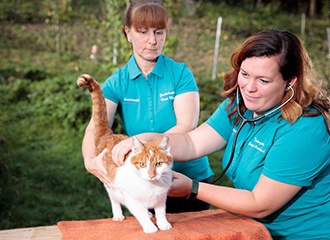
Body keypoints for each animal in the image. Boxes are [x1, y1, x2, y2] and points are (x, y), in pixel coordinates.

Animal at [75, 74, 171, 233]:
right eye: (143, 164)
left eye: (158, 164)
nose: (151, 175)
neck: (151, 186)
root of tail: (109, 135)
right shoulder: (131, 198)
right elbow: (139, 212)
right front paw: (150, 227)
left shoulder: (161, 197)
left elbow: (161, 211)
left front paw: (163, 223)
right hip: (110, 185)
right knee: (114, 199)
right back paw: (119, 215)